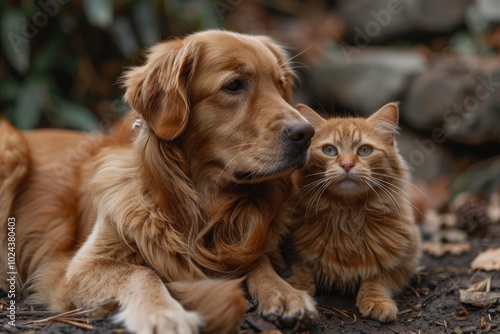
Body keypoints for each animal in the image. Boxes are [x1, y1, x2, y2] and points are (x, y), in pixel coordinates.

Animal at [0, 30, 316, 332]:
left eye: (279, 85)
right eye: (234, 85)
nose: (305, 133)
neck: (200, 205)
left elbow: (256, 258)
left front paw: (284, 292)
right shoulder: (78, 269)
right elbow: (142, 271)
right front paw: (162, 312)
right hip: (12, 147)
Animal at [286, 102, 422, 324]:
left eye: (365, 150)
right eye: (330, 150)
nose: (347, 165)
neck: (348, 215)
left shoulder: (406, 259)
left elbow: (378, 279)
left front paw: (378, 301)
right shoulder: (289, 250)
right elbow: (300, 269)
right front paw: (297, 291)